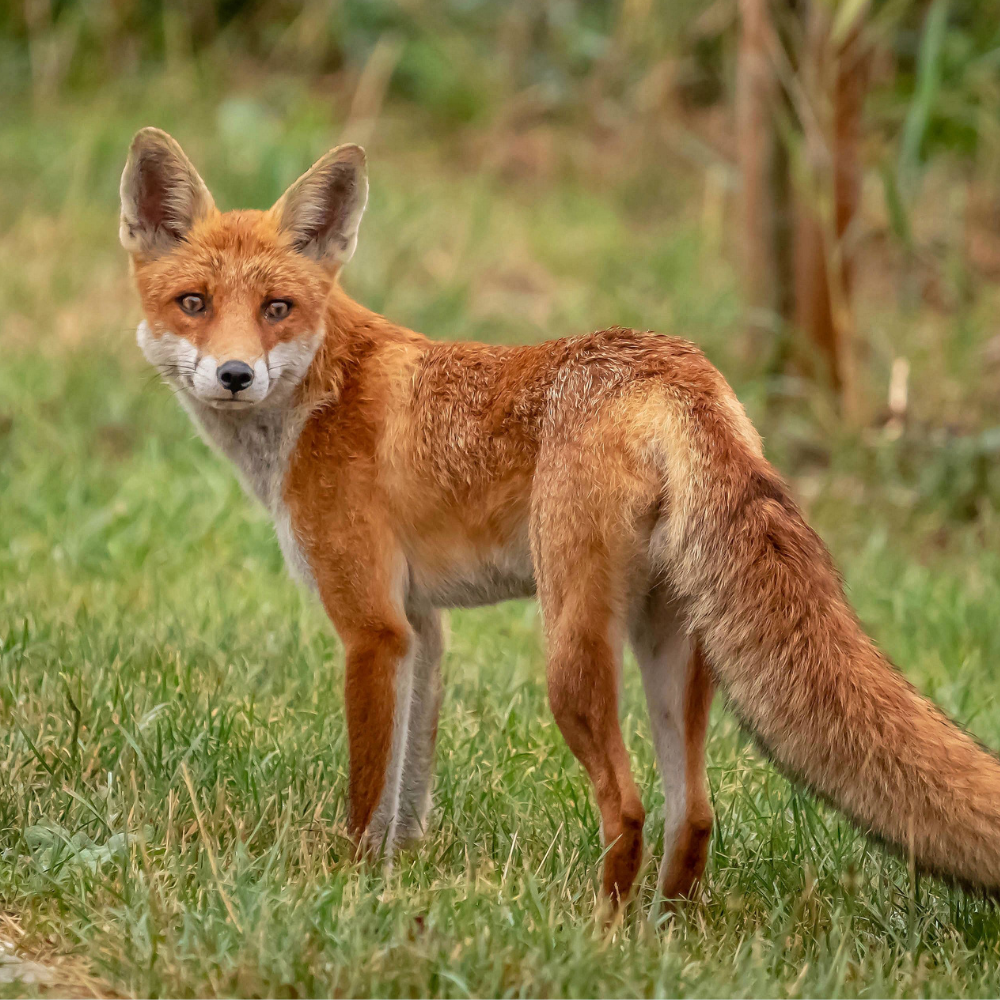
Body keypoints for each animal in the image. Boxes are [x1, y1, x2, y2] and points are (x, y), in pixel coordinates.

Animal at [120, 126, 1000, 908]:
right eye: (193, 304)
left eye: (278, 307)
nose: (235, 375)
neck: (319, 398)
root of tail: (676, 367)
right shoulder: (421, 628)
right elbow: (409, 790)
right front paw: (398, 878)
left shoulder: (372, 628)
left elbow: (369, 794)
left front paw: (347, 886)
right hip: (670, 647)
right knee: (695, 815)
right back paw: (665, 932)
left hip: (570, 658)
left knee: (629, 808)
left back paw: (600, 928)